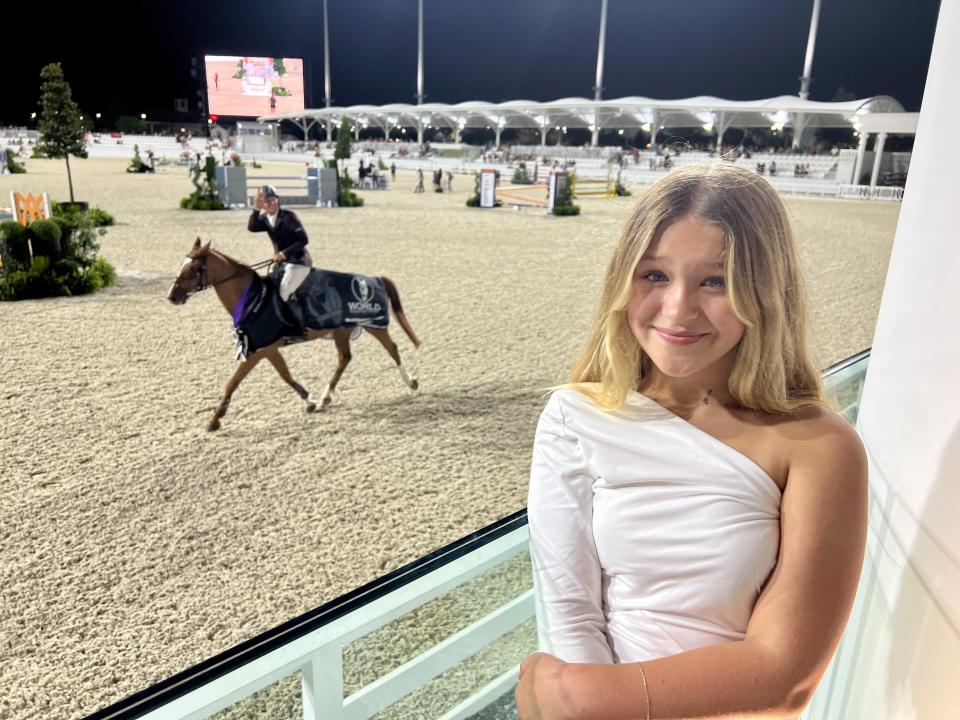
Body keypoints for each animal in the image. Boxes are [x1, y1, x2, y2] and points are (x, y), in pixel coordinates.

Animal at [166, 236, 420, 430]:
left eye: (193, 269)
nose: (172, 296)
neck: (252, 298)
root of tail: (376, 279)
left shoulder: (258, 350)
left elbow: (233, 381)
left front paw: (214, 420)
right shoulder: (267, 348)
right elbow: (285, 375)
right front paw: (309, 400)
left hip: (373, 324)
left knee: (392, 348)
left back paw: (412, 382)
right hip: (342, 330)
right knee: (344, 358)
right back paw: (325, 399)